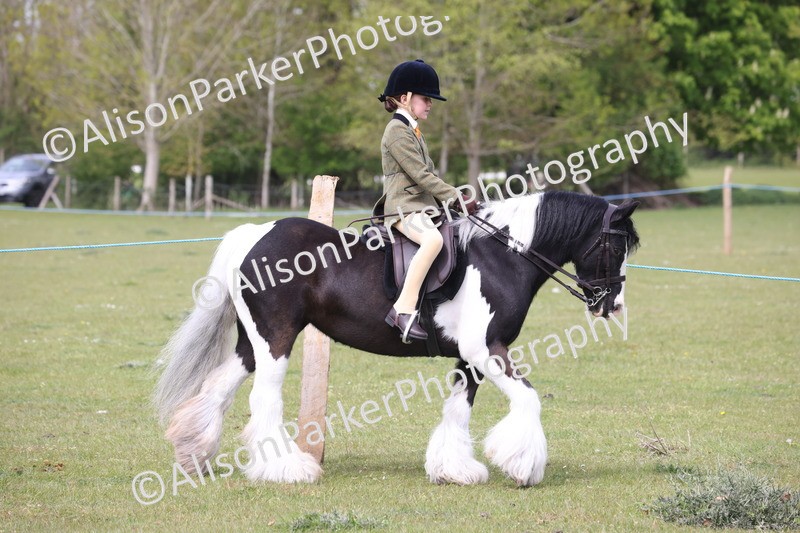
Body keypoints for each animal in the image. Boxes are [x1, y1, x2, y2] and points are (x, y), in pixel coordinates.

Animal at [153, 190, 640, 487]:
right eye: (615, 246)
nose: (612, 305)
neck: (502, 257)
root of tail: (255, 234)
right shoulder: (487, 350)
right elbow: (528, 399)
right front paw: (523, 466)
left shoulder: (470, 357)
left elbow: (458, 410)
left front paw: (454, 469)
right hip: (275, 339)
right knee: (263, 400)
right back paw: (287, 469)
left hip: (251, 343)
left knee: (217, 389)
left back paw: (195, 456)